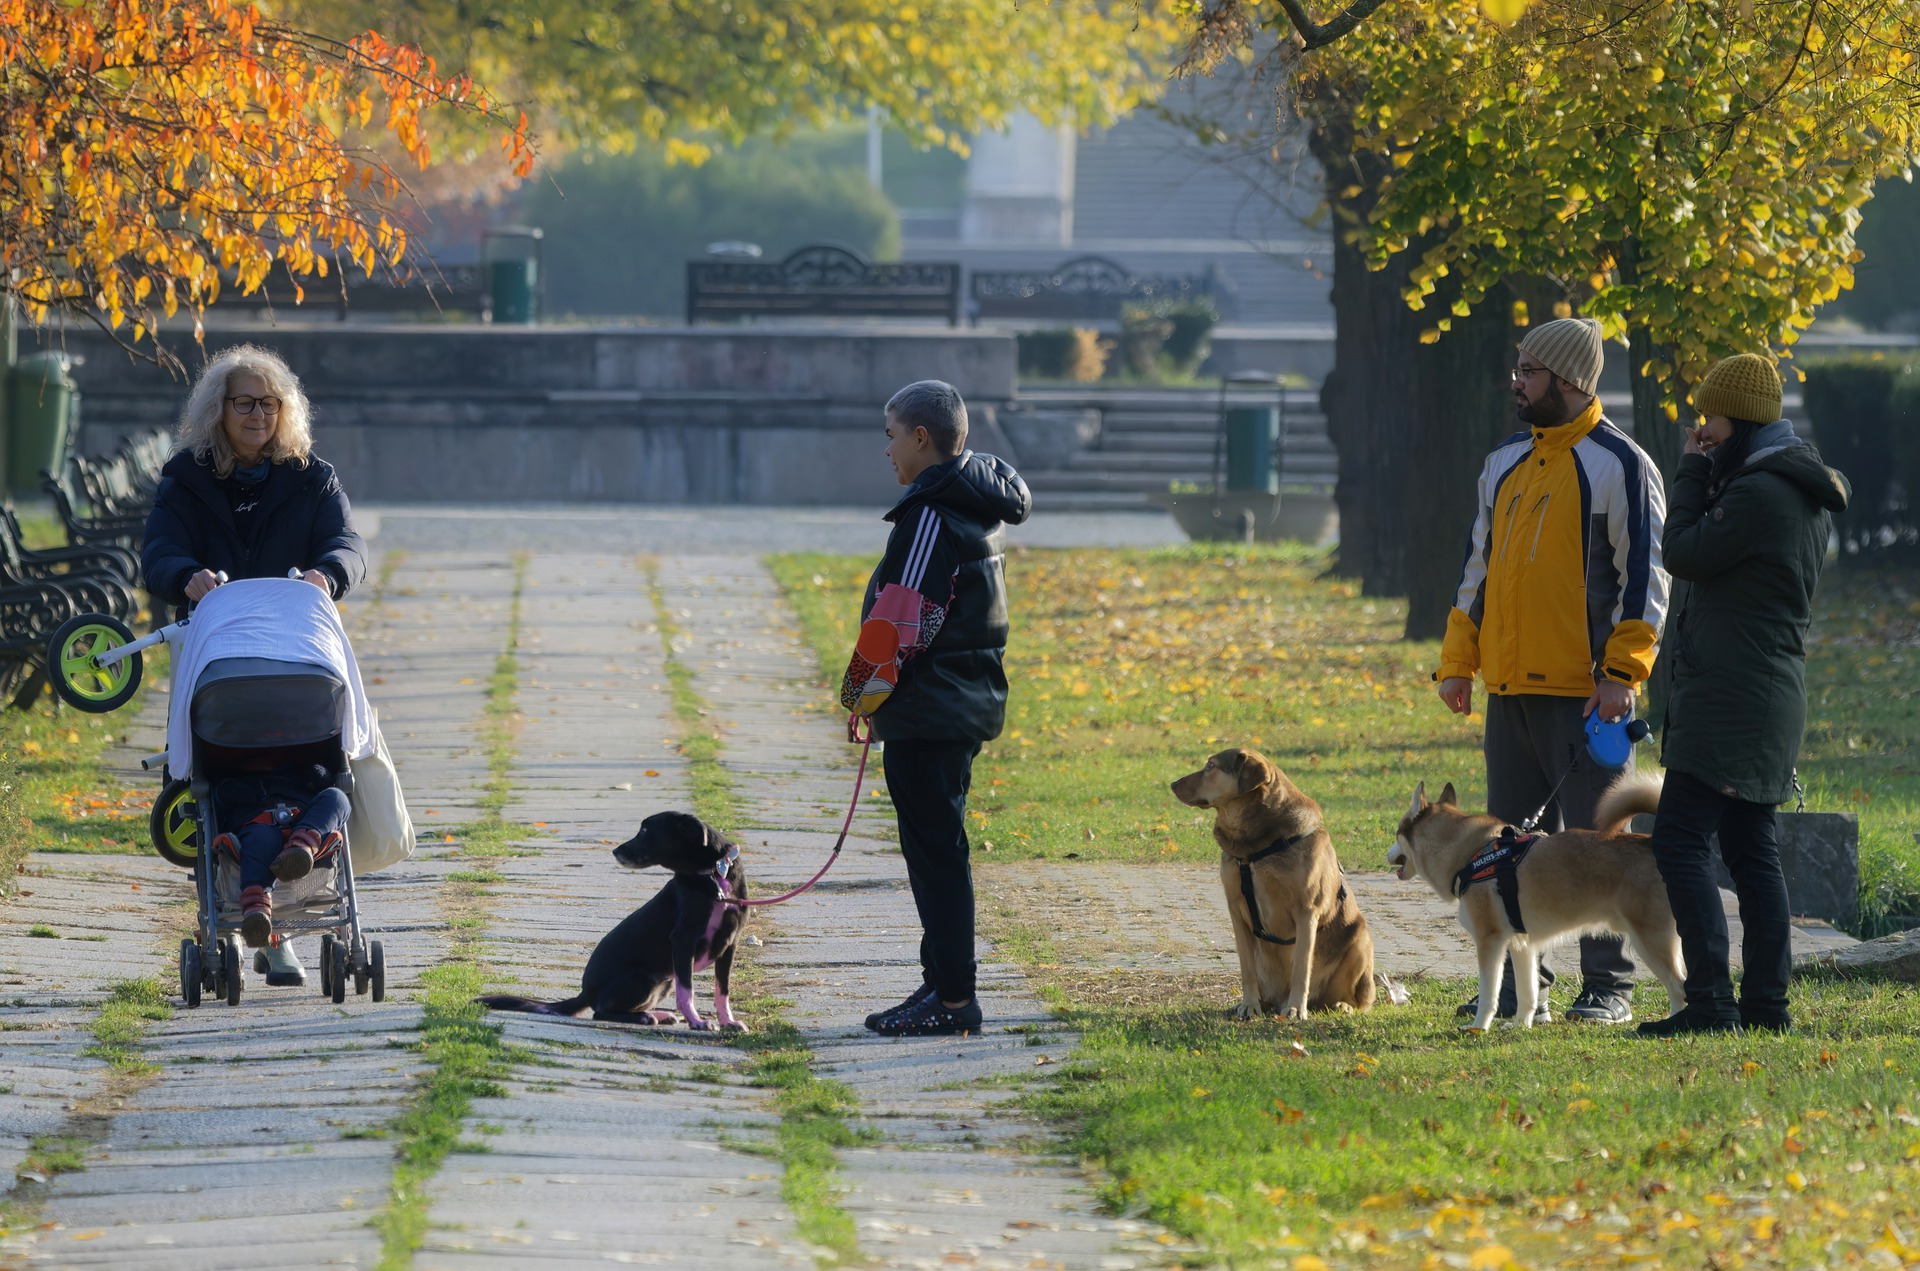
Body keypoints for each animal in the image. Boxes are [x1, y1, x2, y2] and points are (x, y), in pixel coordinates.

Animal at [472, 817, 748, 1036]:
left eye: (645, 831)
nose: (615, 851)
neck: (714, 875)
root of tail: (585, 993)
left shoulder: (730, 944)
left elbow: (722, 991)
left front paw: (728, 1022)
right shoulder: (683, 939)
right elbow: (687, 990)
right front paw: (697, 1021)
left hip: (663, 981)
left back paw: (658, 1015)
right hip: (640, 980)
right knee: (601, 1012)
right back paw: (646, 1017)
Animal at [1159, 752, 1374, 1021]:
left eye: (1210, 766)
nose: (1172, 784)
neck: (1256, 849)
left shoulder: (1307, 911)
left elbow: (1301, 967)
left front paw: (1296, 1008)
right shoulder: (1236, 910)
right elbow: (1246, 969)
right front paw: (1249, 1005)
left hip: (1360, 941)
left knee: (1362, 1000)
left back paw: (1342, 1005)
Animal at [1390, 775, 1689, 1036]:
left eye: (1395, 834)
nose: (1387, 853)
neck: (1471, 854)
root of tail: (1651, 844)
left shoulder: (1490, 941)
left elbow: (1488, 995)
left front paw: (1478, 1027)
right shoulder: (1522, 945)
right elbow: (1528, 994)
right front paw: (1520, 1025)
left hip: (1650, 942)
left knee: (1679, 988)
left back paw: (1672, 1027)